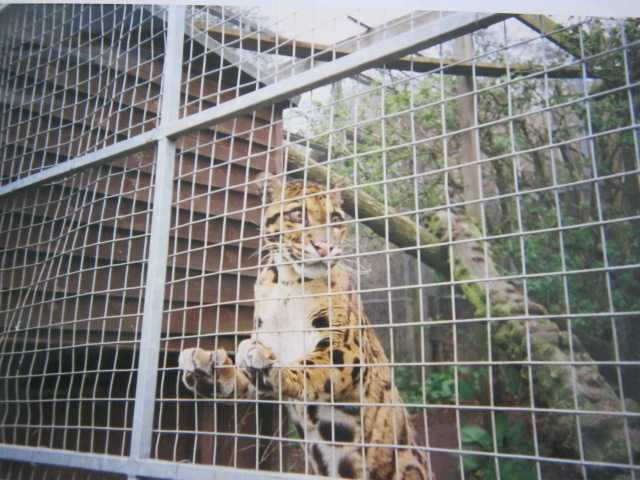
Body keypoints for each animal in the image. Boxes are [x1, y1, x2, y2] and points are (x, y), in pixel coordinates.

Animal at [178, 174, 432, 480]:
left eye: (335, 219)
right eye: (298, 215)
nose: (325, 247)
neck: (289, 284)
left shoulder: (348, 346)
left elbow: (313, 364)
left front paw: (281, 371)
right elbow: (242, 380)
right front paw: (209, 369)